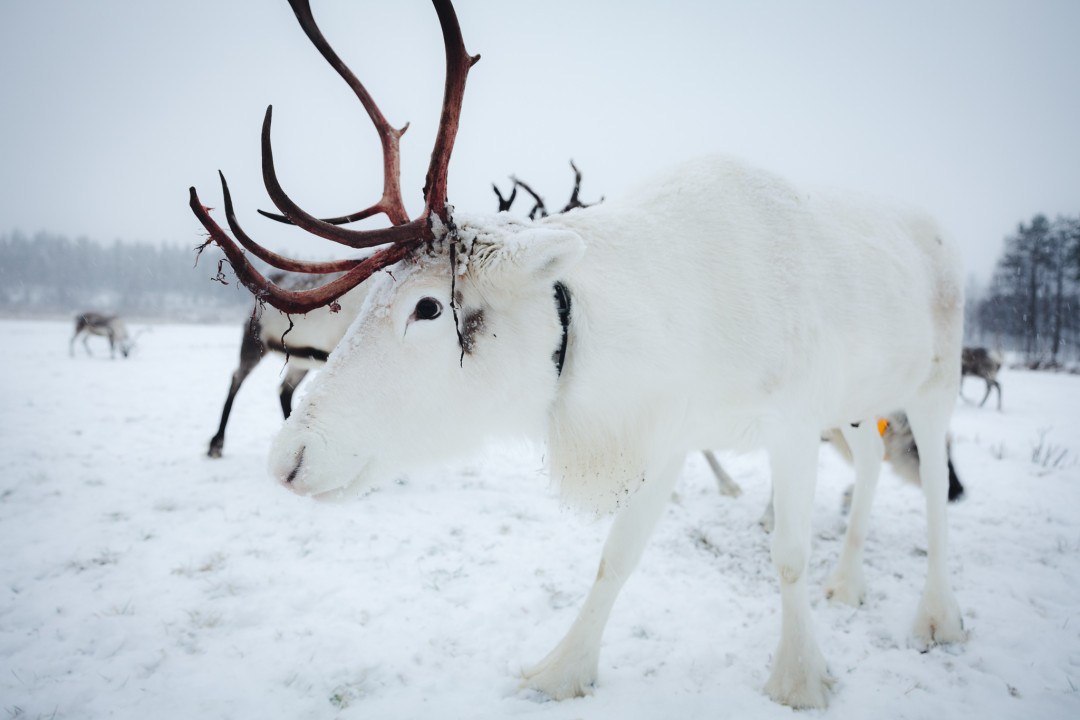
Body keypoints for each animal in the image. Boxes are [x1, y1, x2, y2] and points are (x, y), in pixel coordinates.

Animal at [188, 0, 966, 708]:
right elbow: (616, 557)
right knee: (874, 459)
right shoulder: (670, 435)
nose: (288, 459)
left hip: (934, 385)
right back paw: (850, 583)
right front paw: (561, 671)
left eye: (428, 306)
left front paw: (800, 680)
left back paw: (938, 617)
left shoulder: (792, 423)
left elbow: (790, 558)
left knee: (933, 488)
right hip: (859, 404)